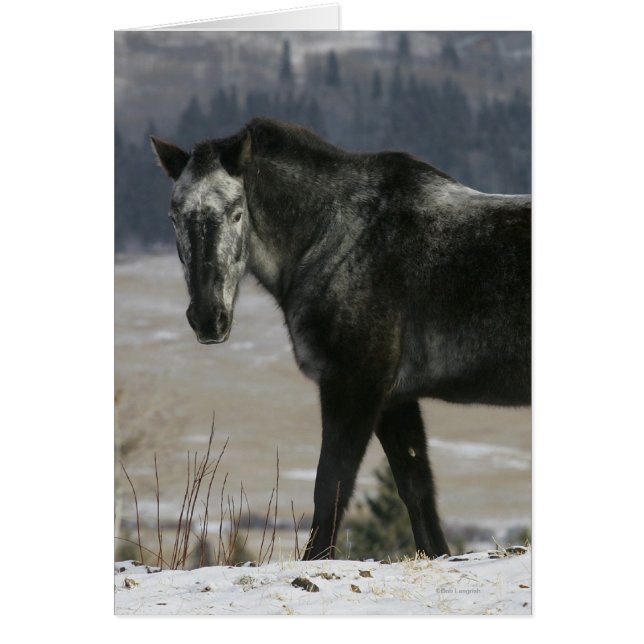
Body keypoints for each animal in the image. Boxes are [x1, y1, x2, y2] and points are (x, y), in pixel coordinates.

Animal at [150, 117, 531, 560]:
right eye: (173, 217)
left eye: (236, 213)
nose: (208, 319)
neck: (335, 239)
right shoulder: (394, 398)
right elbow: (417, 488)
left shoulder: (353, 385)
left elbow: (331, 485)